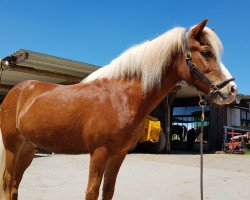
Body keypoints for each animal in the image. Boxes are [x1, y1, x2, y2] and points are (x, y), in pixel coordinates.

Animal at [0, 19, 237, 200]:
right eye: (206, 52)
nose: (232, 90)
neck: (120, 97)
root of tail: (17, 91)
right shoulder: (99, 152)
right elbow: (91, 192)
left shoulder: (118, 155)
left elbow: (108, 191)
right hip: (13, 146)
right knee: (8, 182)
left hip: (28, 149)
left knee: (15, 185)